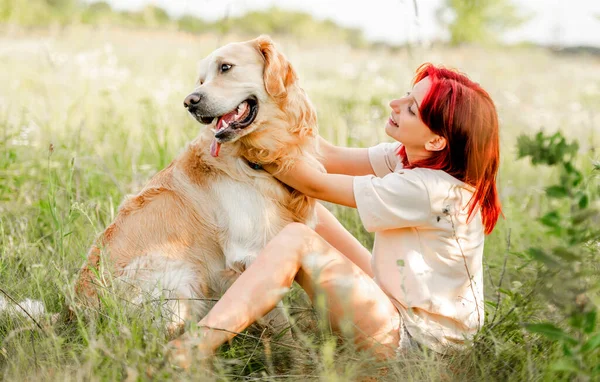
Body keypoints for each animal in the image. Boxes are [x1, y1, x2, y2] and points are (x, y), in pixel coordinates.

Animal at [75, 35, 324, 334]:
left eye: (225, 67)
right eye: (201, 80)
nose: (189, 102)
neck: (255, 157)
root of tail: (77, 310)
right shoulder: (251, 254)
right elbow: (280, 323)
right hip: (180, 277)